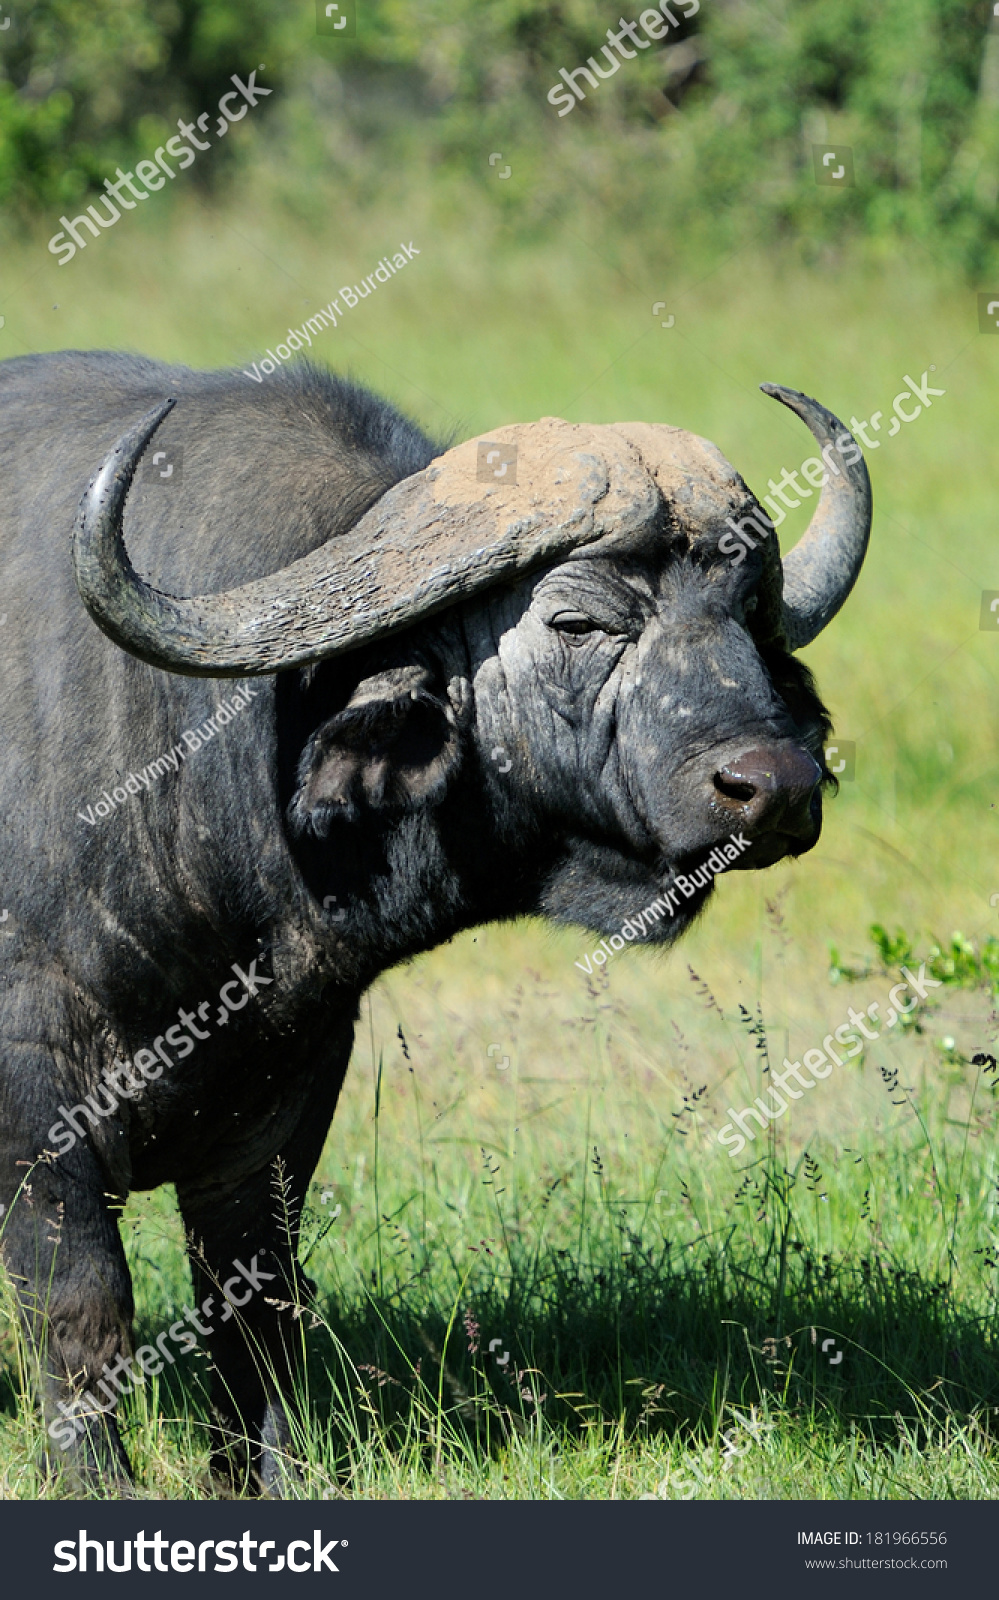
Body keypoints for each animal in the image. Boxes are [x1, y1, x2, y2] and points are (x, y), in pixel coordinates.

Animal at [0, 350, 870, 1484]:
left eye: (752, 617)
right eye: (576, 621)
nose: (774, 786)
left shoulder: (286, 1090)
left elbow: (256, 1301)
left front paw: (266, 1472)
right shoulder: (36, 1107)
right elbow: (83, 1307)